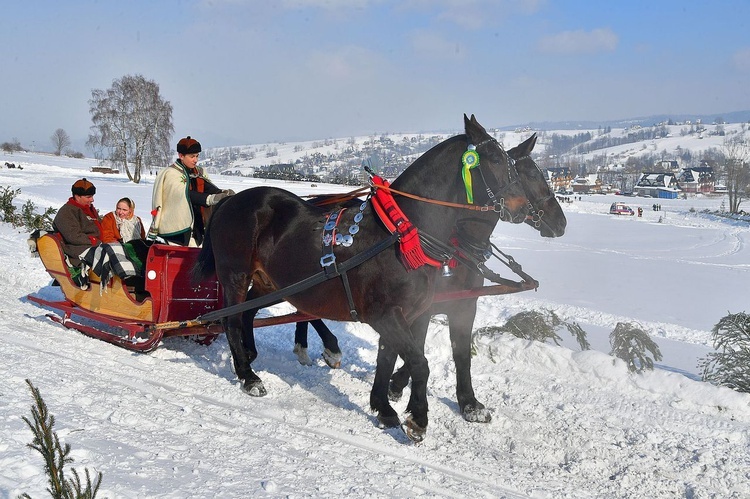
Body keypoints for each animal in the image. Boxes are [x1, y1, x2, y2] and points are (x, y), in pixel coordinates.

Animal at [197, 115, 532, 444]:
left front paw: (383, 407)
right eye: (494, 159)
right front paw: (418, 420)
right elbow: (419, 363)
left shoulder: (406, 314)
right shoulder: (385, 314)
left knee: (249, 314)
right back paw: (248, 376)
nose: (523, 206)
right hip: (235, 275)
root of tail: (230, 201)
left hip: (270, 283)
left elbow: (388, 358)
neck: (402, 233)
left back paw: (251, 356)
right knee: (231, 319)